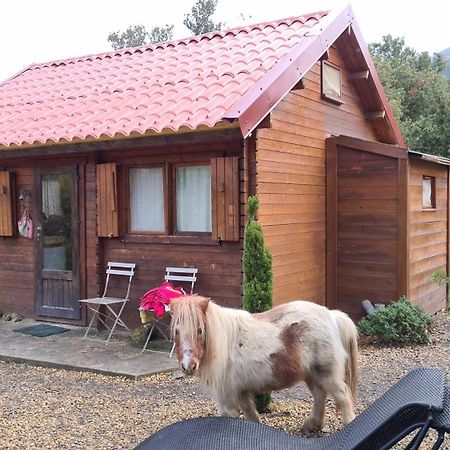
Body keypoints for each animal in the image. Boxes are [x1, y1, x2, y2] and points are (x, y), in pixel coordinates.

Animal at [169, 296, 358, 432]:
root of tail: (332, 316)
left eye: (200, 330)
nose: (188, 366)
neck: (225, 343)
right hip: (312, 374)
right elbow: (251, 415)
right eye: (176, 331)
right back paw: (312, 426)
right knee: (320, 396)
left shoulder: (227, 398)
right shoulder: (241, 392)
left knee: (342, 396)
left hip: (327, 374)